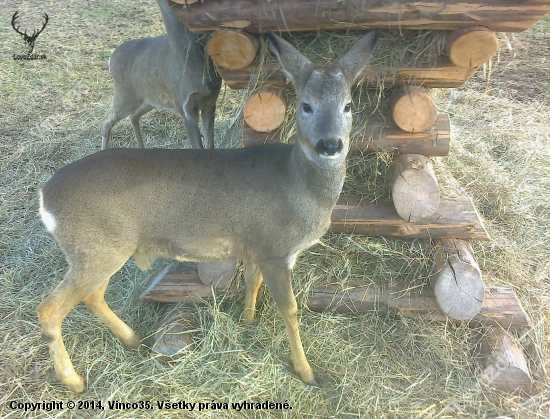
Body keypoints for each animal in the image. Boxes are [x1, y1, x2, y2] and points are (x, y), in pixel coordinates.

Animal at [35, 30, 380, 394]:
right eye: (306, 105)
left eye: (348, 105)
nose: (330, 145)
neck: (299, 185)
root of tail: (45, 197)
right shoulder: (276, 249)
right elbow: (290, 309)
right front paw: (306, 371)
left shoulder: (255, 244)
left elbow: (252, 282)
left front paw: (247, 320)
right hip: (98, 248)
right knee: (50, 308)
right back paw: (74, 380)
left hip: (104, 249)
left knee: (91, 297)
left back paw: (133, 340)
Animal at [100, 0, 221, 150]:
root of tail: (111, 59)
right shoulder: (184, 106)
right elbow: (198, 147)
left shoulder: (210, 101)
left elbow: (210, 144)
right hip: (125, 96)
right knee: (108, 118)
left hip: (150, 98)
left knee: (133, 116)